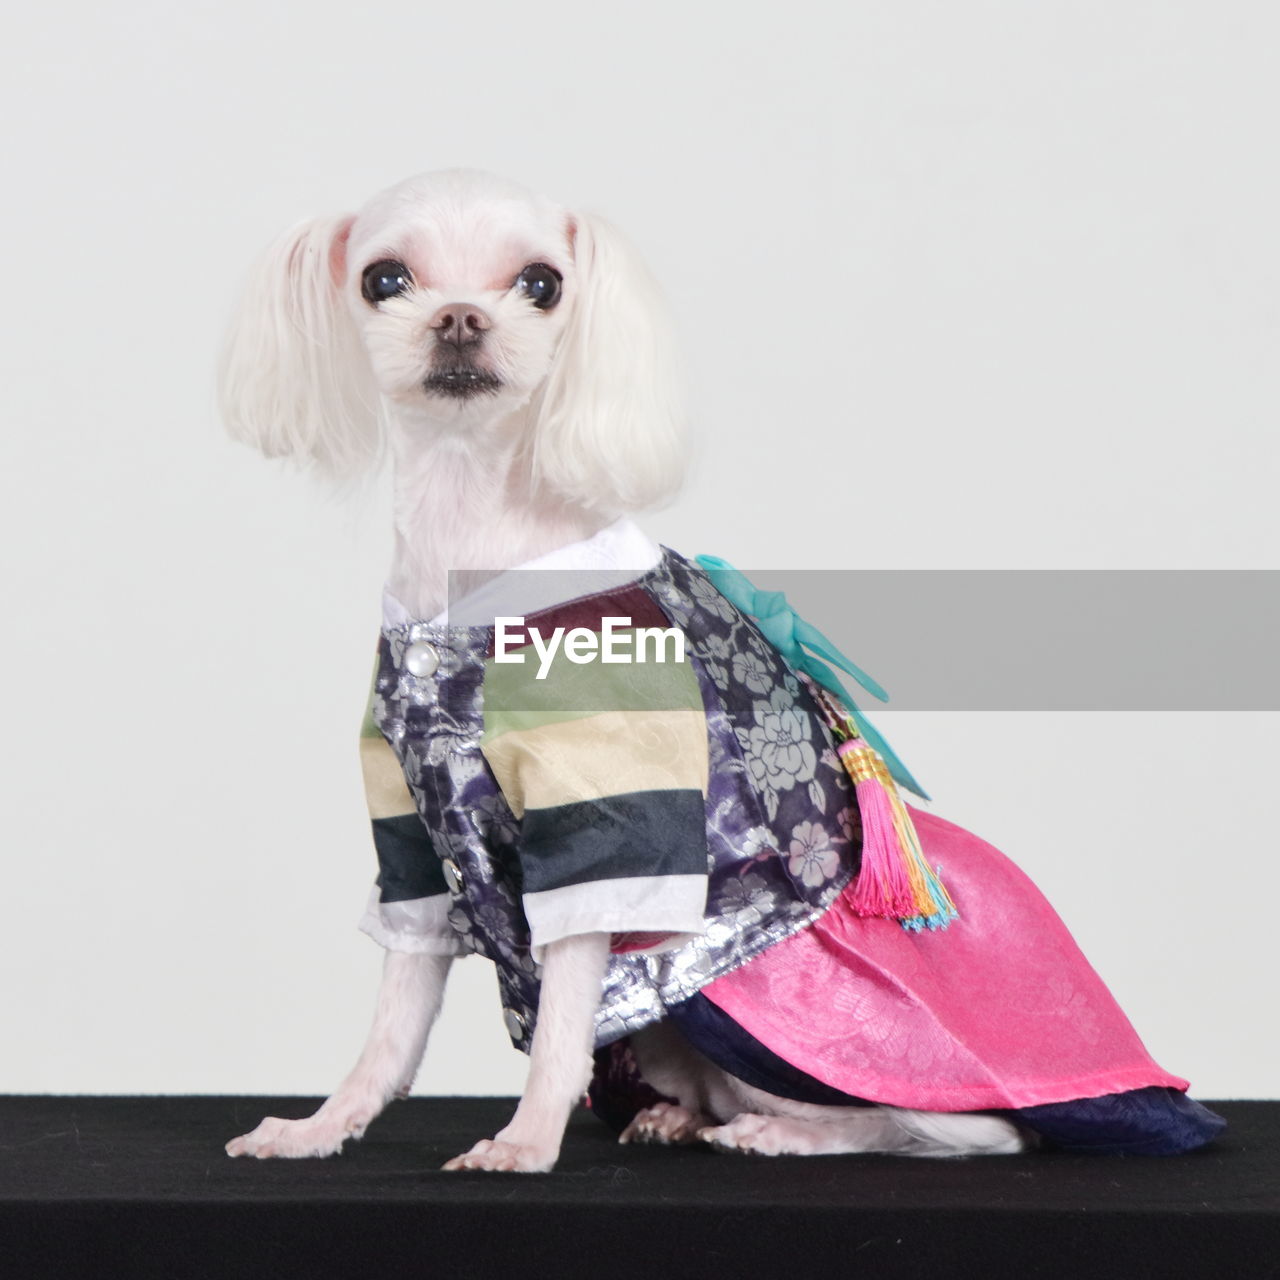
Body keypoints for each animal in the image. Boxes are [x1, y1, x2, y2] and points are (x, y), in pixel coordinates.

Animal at [217, 167, 1218, 1172]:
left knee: (963, 1123)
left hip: (756, 1005)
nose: (459, 318)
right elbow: (394, 1020)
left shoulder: (609, 826)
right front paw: (323, 1125)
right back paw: (680, 1114)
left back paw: (784, 1130)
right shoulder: (415, 836)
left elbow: (561, 1018)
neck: (470, 550)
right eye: (384, 279)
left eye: (541, 284)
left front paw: (526, 1140)